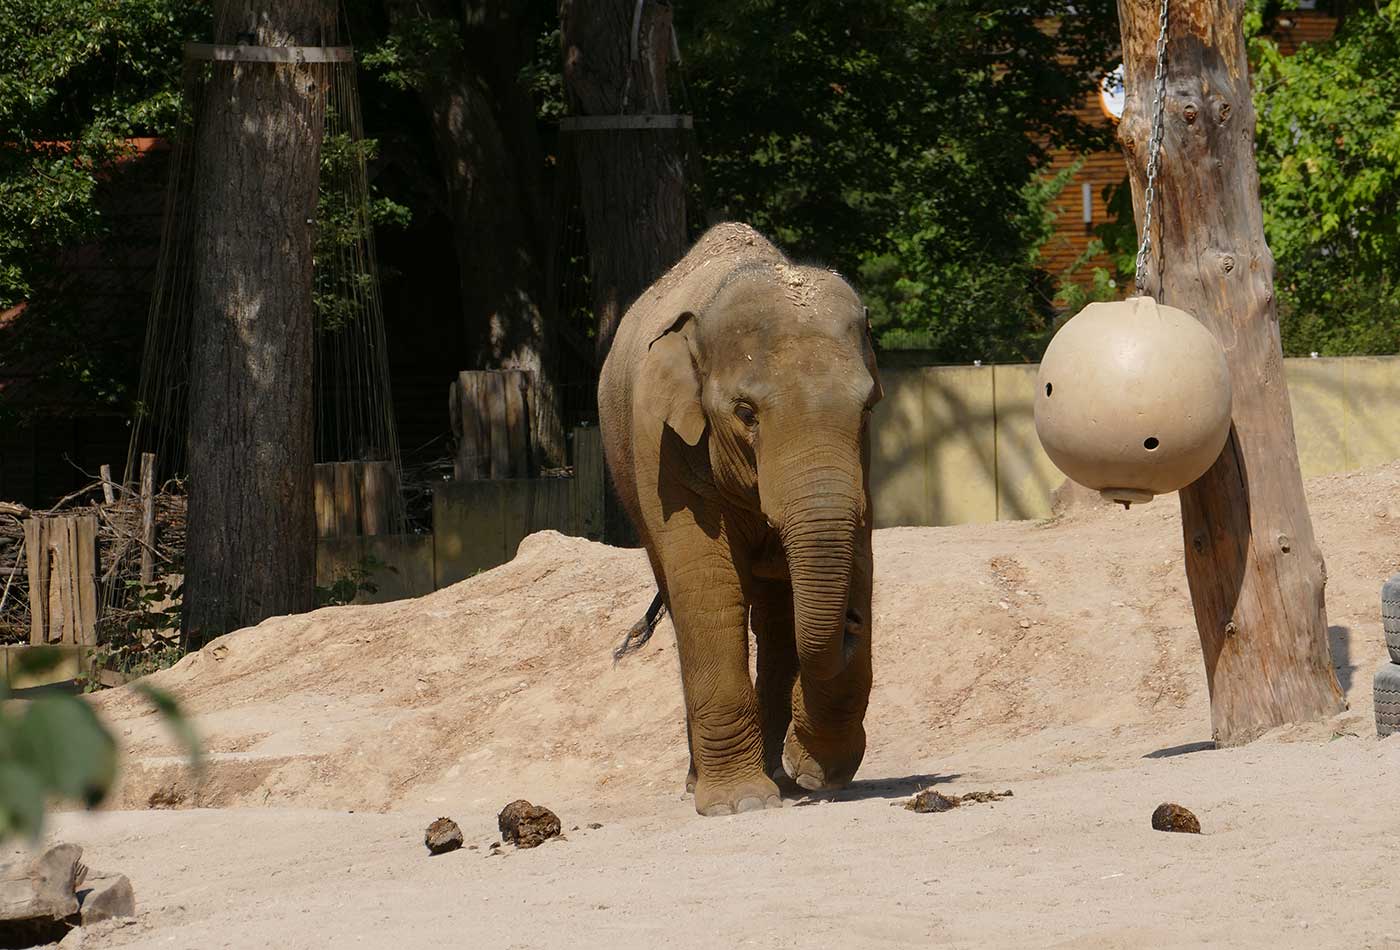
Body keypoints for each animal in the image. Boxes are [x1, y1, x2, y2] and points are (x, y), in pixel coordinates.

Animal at [596, 221, 879, 817]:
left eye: (867, 409)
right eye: (745, 413)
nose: (851, 622)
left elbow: (855, 560)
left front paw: (815, 773)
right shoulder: (662, 449)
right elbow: (707, 586)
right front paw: (740, 803)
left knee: (774, 615)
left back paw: (779, 774)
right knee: (689, 602)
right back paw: (708, 783)